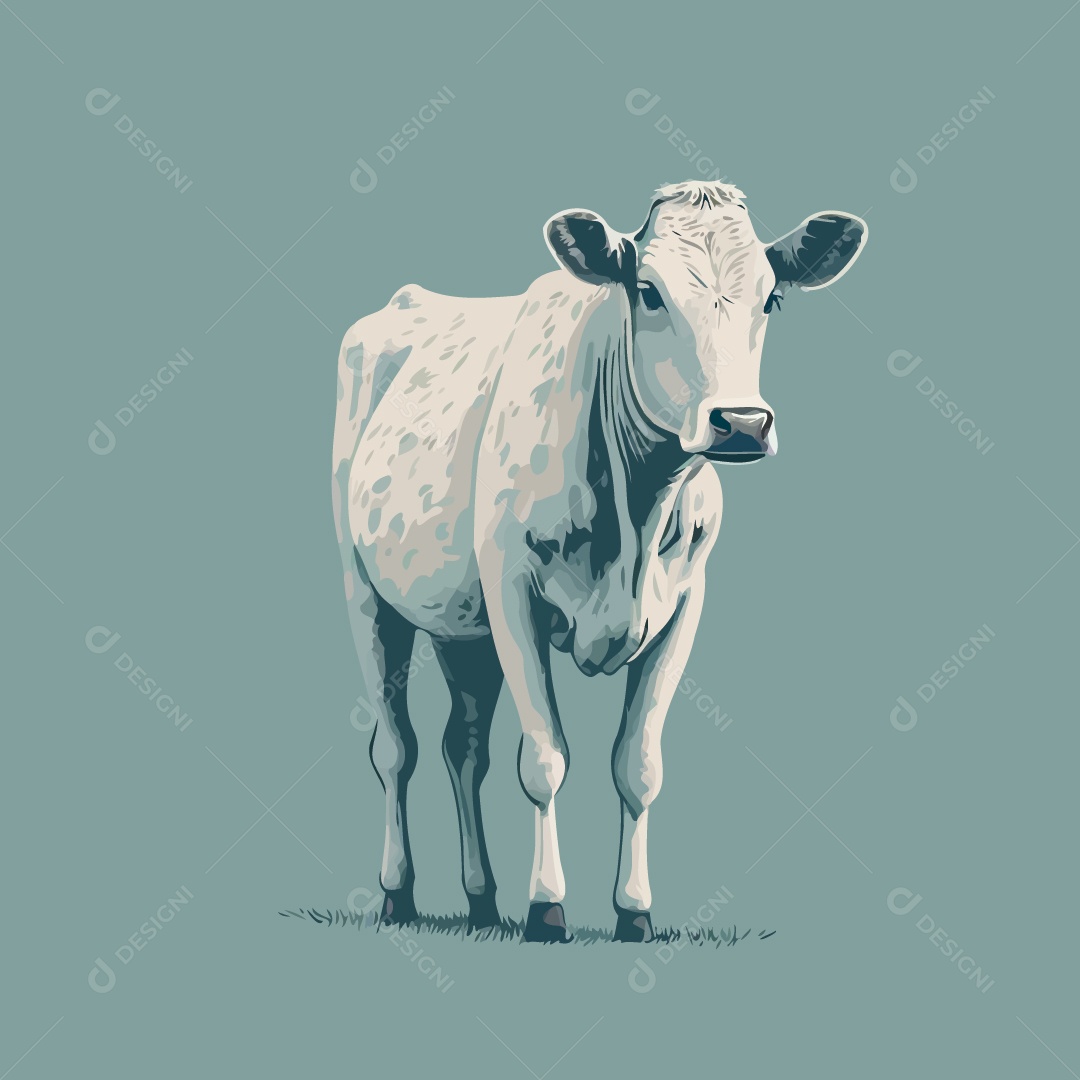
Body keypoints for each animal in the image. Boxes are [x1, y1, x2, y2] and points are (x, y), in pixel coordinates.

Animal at [332, 180, 867, 942]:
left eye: (771, 299)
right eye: (647, 292)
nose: (741, 423)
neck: (638, 507)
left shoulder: (683, 604)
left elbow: (637, 768)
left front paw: (633, 911)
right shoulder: (514, 596)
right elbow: (545, 760)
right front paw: (546, 907)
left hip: (464, 625)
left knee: (463, 748)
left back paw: (480, 899)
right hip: (366, 592)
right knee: (395, 749)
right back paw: (398, 894)